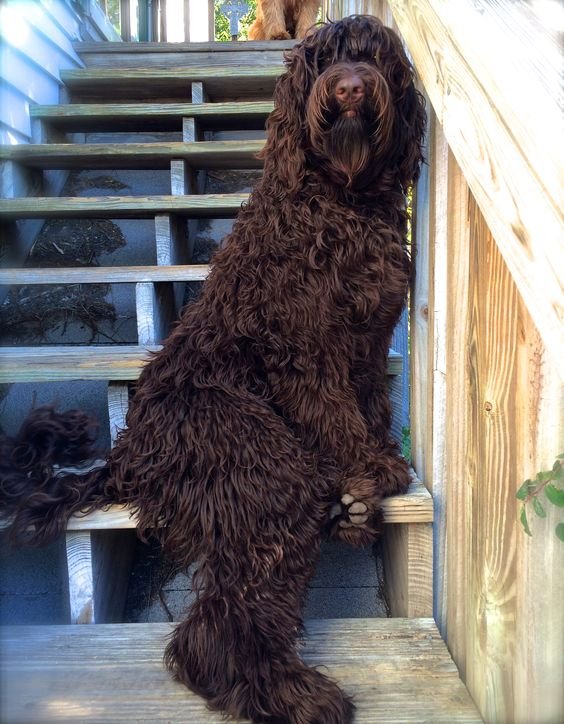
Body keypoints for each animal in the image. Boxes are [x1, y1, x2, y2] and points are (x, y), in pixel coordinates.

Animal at [0, 15, 426, 724]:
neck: (340, 201)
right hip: (253, 455)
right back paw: (288, 691)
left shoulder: (368, 338)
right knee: (216, 623)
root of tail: (128, 455)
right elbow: (332, 409)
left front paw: (375, 466)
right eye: (322, 62)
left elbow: (367, 403)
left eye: (375, 59)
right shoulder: (303, 346)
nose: (349, 88)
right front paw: (368, 468)